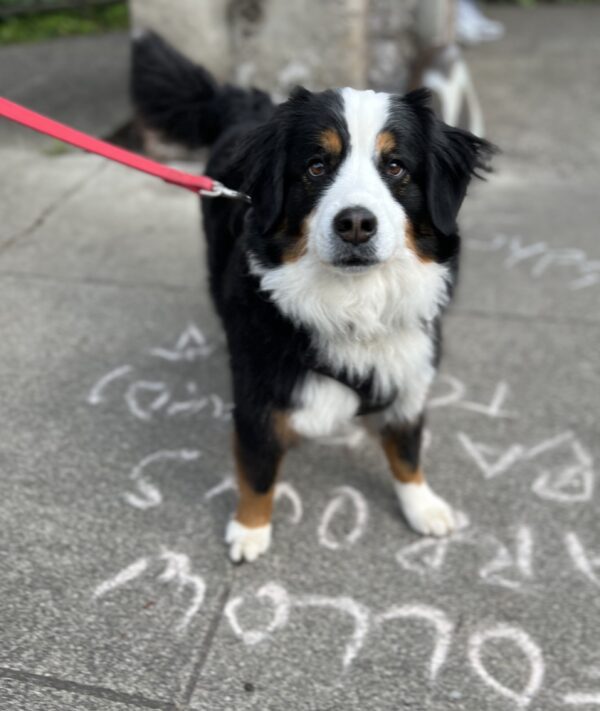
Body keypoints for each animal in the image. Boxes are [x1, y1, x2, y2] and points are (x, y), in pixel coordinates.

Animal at [134, 33, 494, 564]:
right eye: (316, 166)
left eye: (396, 167)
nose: (356, 223)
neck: (356, 307)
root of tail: (246, 102)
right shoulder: (261, 399)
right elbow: (258, 471)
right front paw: (250, 529)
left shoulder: (409, 376)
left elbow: (407, 451)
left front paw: (422, 506)